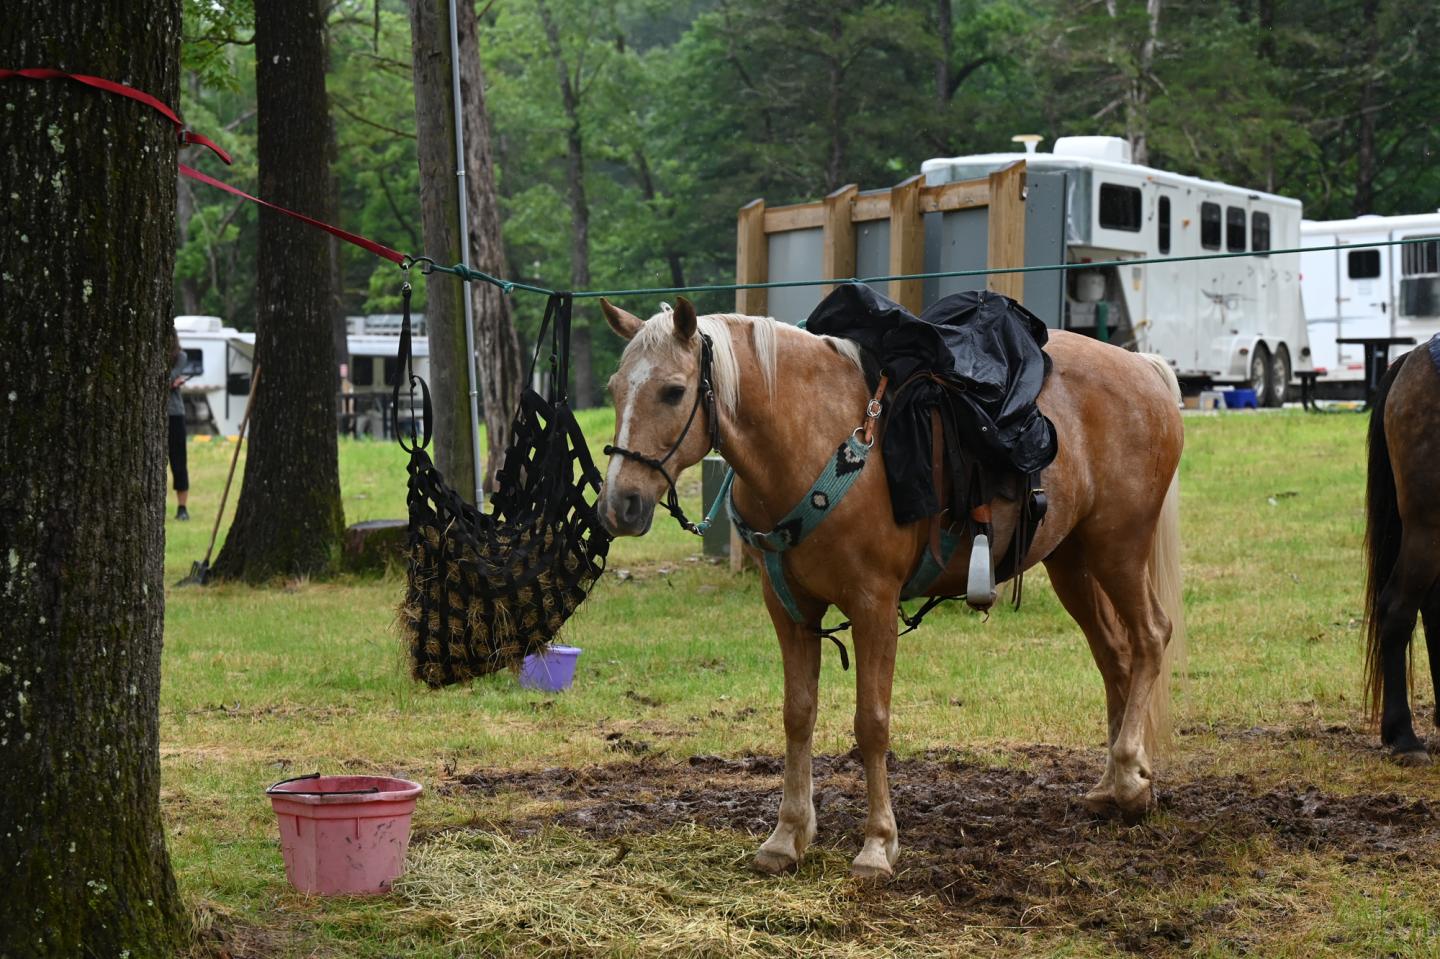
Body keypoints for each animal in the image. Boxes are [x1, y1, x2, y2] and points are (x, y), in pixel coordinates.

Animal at [596, 294, 1185, 879]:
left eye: (673, 391)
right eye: (615, 388)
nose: (619, 505)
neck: (814, 441)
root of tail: (1145, 370)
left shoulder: (873, 604)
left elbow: (871, 723)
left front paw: (878, 844)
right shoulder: (789, 609)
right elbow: (797, 714)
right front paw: (787, 836)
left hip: (1118, 548)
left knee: (1151, 636)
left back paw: (1130, 776)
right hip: (1073, 561)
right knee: (1115, 657)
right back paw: (1113, 784)